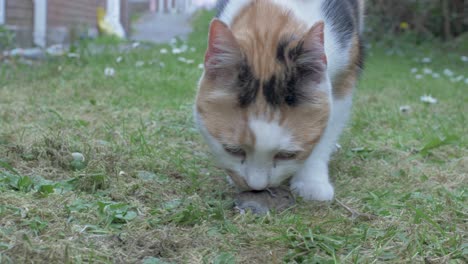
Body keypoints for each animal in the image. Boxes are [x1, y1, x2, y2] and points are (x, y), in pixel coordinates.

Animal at [194, 0, 366, 201]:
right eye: (233, 150)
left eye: (287, 155)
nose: (257, 187)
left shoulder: (344, 76)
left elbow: (326, 133)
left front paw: (311, 182)